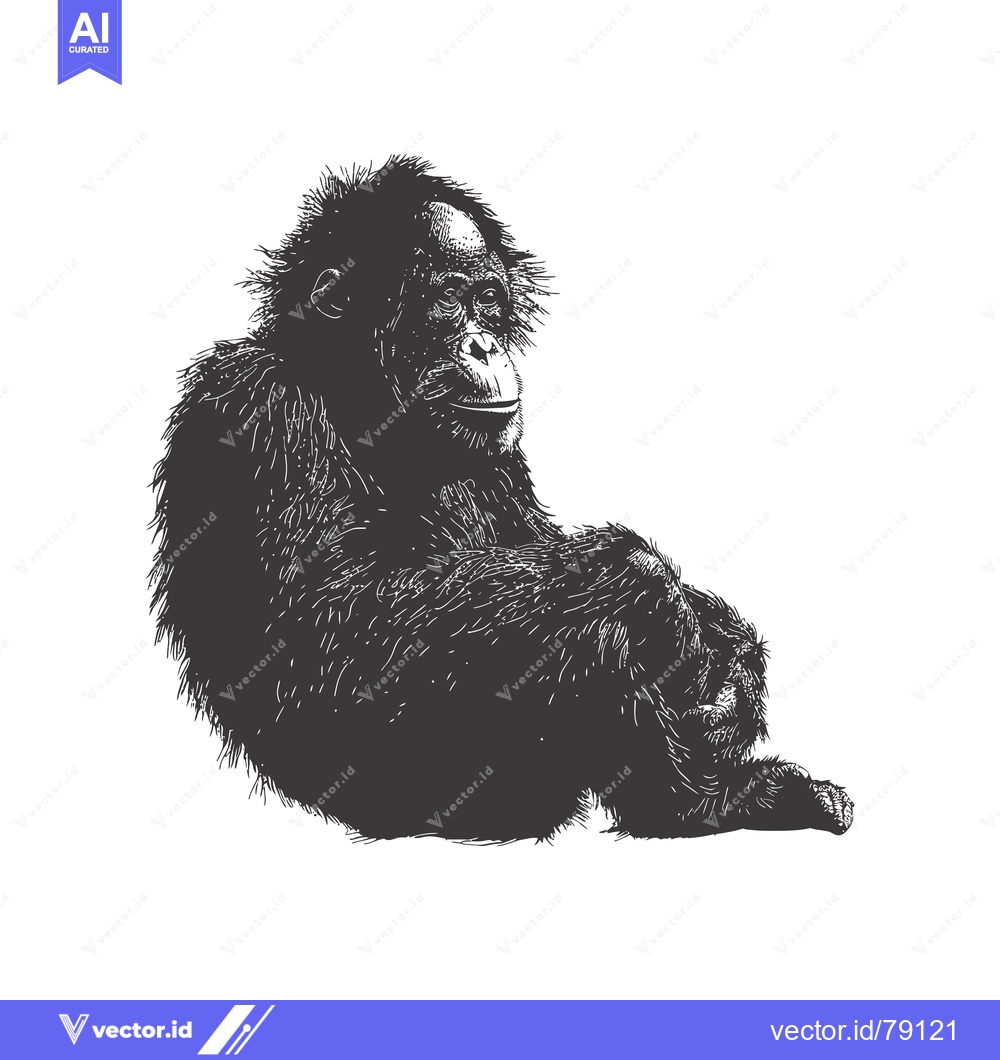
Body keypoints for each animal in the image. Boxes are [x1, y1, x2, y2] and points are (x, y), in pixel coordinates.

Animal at [151, 156, 852, 841]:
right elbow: (328, 625)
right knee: (583, 632)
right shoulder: (256, 409)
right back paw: (698, 802)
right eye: (445, 303)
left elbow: (533, 540)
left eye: (487, 301)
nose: (484, 344)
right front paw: (640, 576)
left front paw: (728, 665)